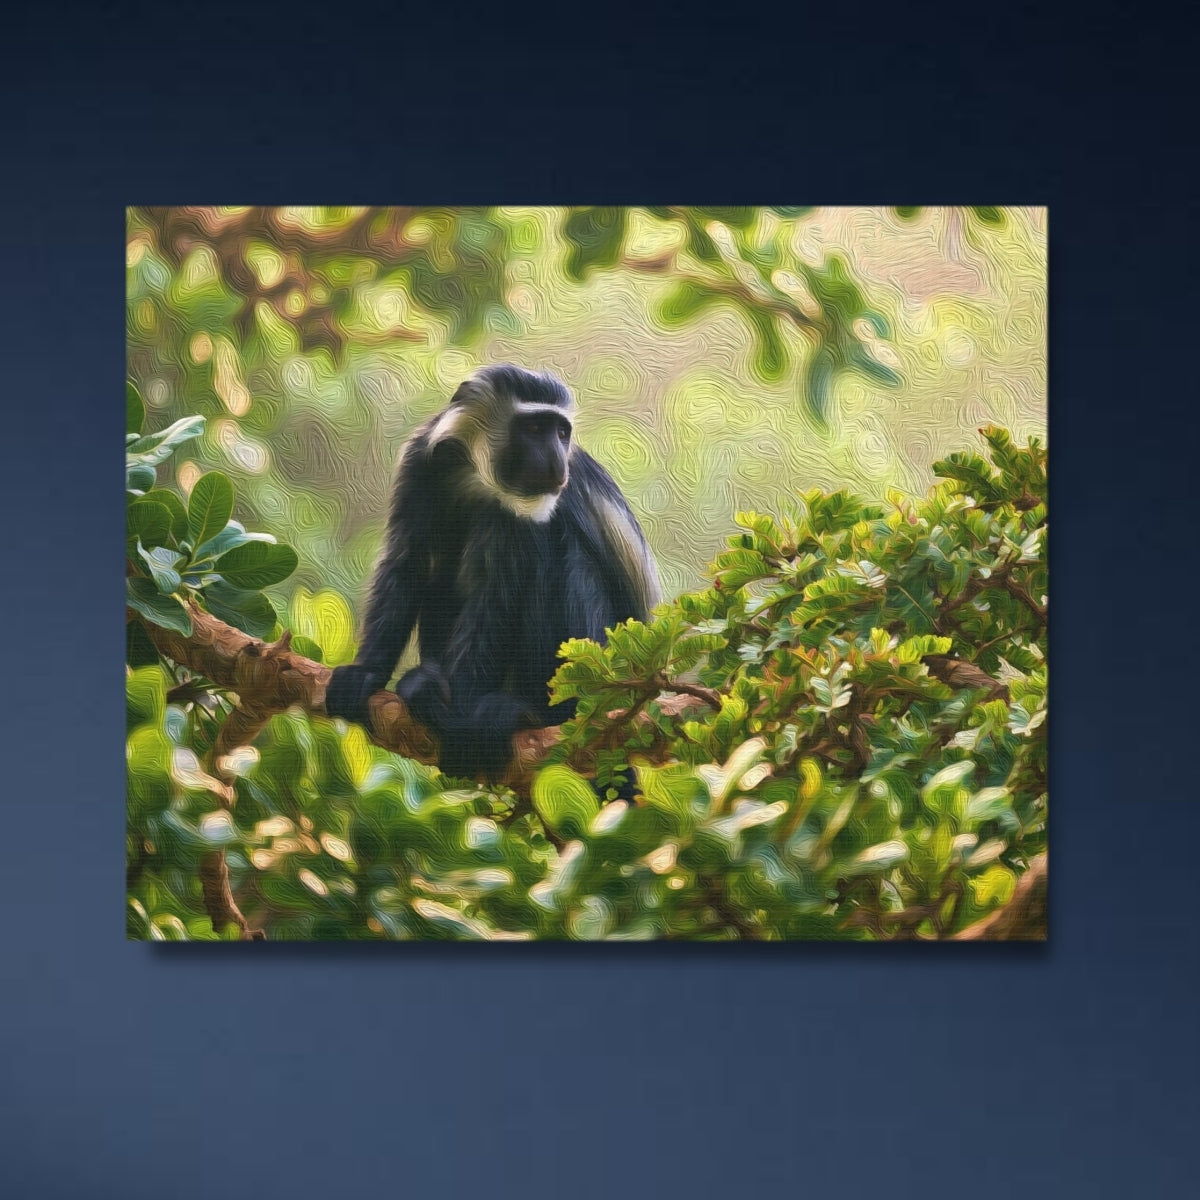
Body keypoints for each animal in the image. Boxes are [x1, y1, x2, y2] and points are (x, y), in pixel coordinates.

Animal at [324, 364, 661, 782]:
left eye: (561, 432)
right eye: (534, 428)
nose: (556, 462)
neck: (478, 475)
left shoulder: (520, 513)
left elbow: (496, 598)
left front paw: (457, 724)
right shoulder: (421, 463)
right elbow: (406, 561)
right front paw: (366, 674)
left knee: (568, 559)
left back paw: (534, 715)